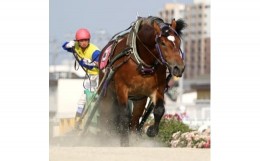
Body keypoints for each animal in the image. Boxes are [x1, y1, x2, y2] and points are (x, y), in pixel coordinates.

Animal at [96, 16, 186, 146]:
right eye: (163, 43)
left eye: (179, 42)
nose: (178, 67)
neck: (142, 62)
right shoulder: (122, 88)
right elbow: (124, 115)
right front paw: (124, 141)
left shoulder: (156, 89)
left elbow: (159, 110)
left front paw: (151, 131)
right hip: (106, 93)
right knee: (105, 115)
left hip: (139, 99)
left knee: (134, 120)